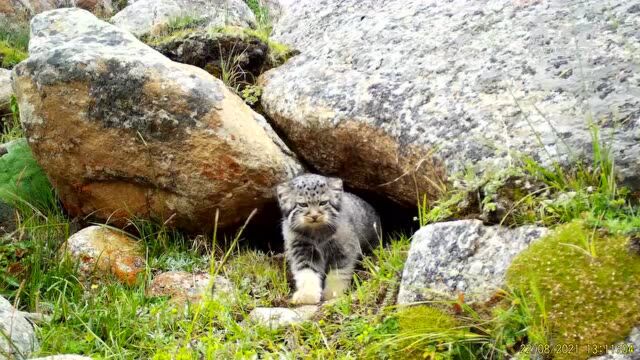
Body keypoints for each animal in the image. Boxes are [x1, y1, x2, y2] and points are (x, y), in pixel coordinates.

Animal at [276, 174, 380, 304]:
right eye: (303, 204)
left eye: (323, 202)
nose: (314, 216)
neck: (317, 234)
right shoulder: (302, 252)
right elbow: (307, 273)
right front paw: (307, 295)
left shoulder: (343, 251)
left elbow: (337, 274)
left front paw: (333, 294)